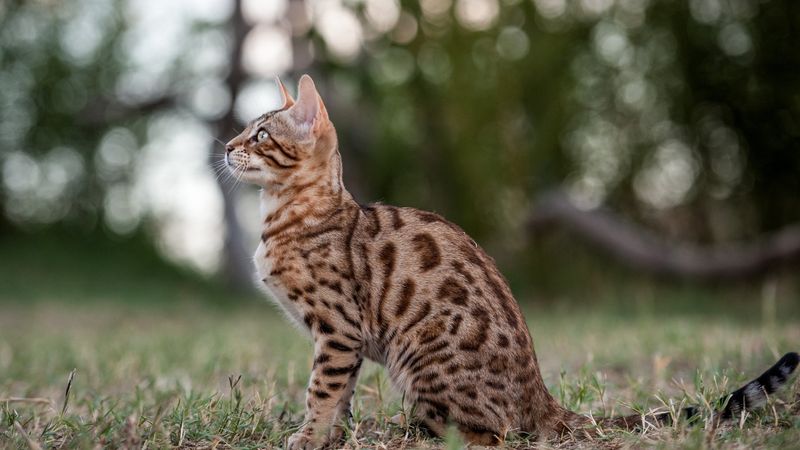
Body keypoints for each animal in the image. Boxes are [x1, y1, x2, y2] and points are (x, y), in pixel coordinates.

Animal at [225, 75, 800, 448]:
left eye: (261, 134)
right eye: (246, 130)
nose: (226, 146)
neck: (287, 213)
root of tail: (539, 396)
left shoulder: (338, 328)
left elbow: (321, 391)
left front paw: (309, 436)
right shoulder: (341, 340)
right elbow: (340, 394)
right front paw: (334, 435)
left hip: (421, 360)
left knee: (493, 433)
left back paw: (418, 433)